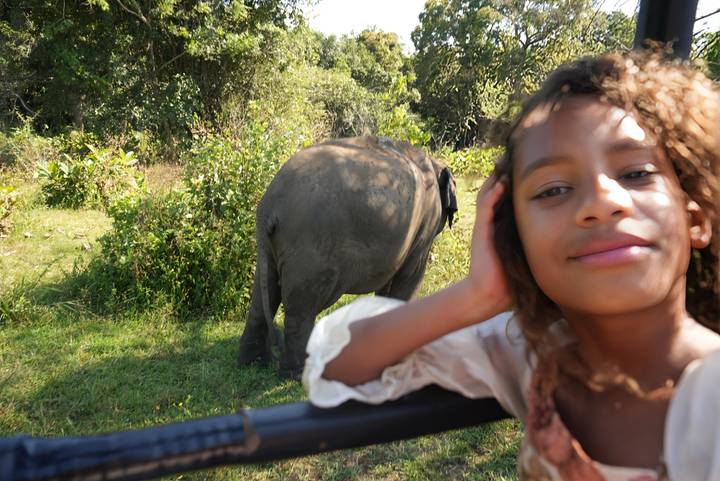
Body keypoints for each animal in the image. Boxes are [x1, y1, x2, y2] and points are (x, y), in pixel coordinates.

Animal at [237, 135, 458, 378]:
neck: (433, 162)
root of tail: (270, 205)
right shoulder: (424, 227)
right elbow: (410, 276)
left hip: (270, 246)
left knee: (262, 294)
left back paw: (253, 363)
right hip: (309, 250)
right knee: (301, 308)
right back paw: (298, 374)